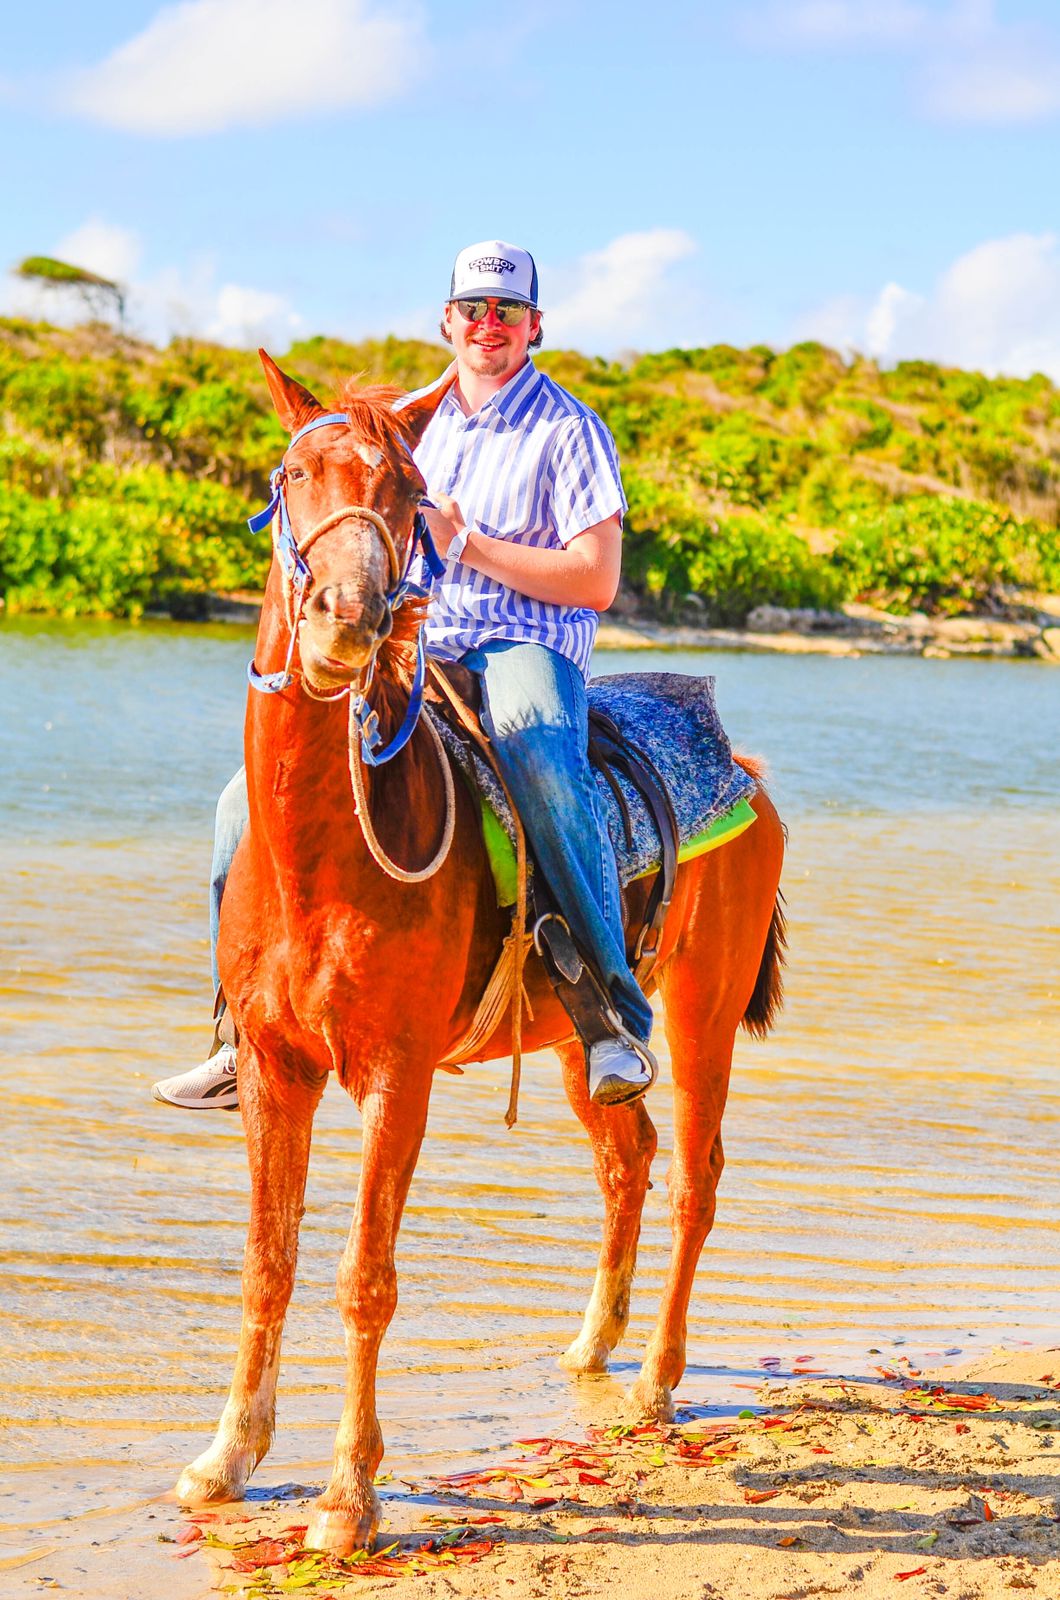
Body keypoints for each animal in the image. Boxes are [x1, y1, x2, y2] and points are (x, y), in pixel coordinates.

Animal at [174, 352, 786, 1556]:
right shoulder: (276, 1069)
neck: (325, 849)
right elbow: (268, 1260)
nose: (347, 619)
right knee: (628, 1158)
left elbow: (364, 1276)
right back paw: (594, 1345)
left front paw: (346, 1497)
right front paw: (227, 1456)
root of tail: (741, 767)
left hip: (702, 1013)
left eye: (415, 495)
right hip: (580, 1039)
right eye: (293, 475)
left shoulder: (395, 1076)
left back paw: (656, 1380)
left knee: (694, 1177)